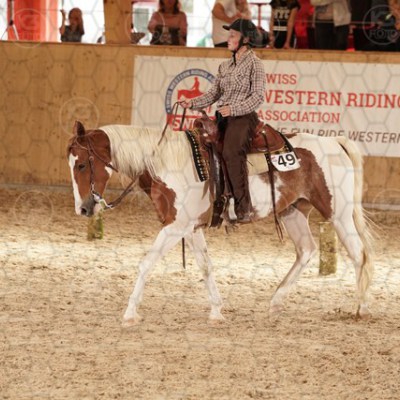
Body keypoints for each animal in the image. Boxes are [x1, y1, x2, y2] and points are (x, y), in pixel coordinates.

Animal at [67, 117, 373, 326]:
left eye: (81, 164)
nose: (83, 208)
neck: (166, 163)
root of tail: (334, 142)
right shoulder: (189, 227)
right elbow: (206, 266)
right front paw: (216, 310)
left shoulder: (174, 226)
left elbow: (146, 263)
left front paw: (130, 312)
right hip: (293, 211)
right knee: (307, 250)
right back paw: (275, 302)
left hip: (338, 213)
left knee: (359, 254)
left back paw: (360, 308)